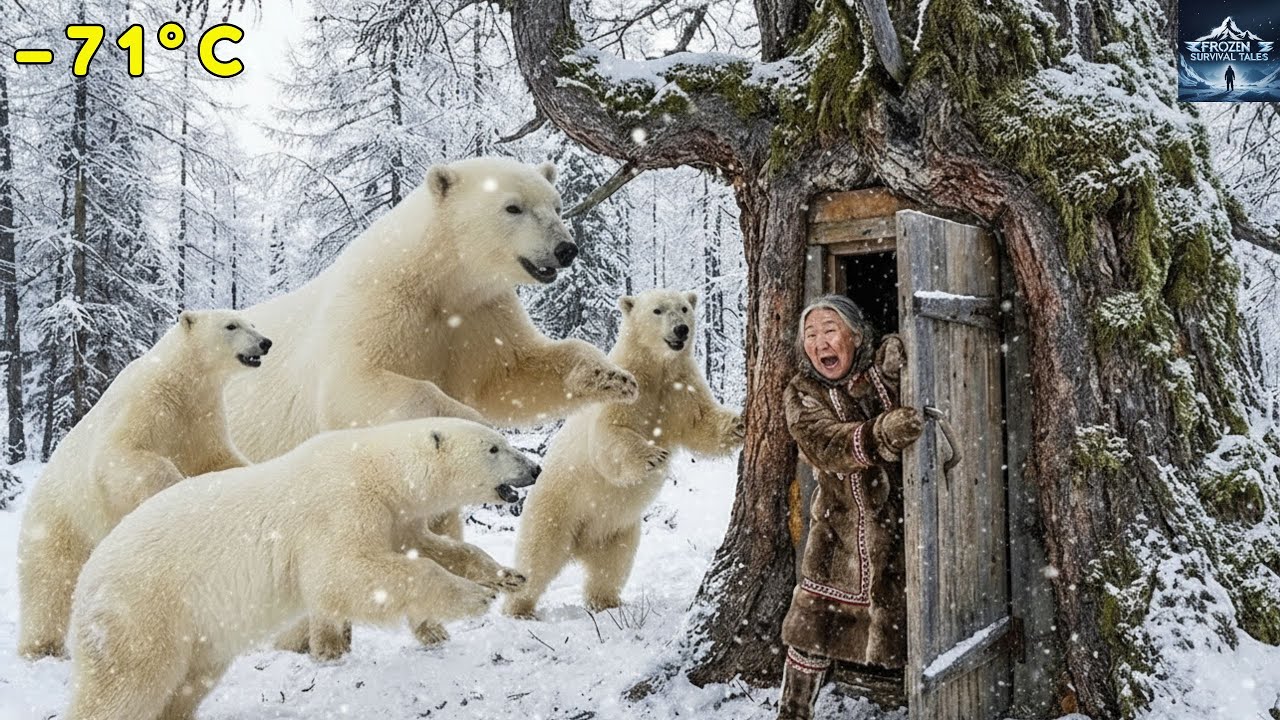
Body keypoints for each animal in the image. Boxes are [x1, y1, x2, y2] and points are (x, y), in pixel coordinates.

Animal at [16, 309, 271, 660]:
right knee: (49, 579)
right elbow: (120, 454)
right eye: (231, 325)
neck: (182, 381)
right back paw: (41, 645)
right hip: (61, 519)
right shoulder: (146, 403)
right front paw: (171, 486)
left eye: (253, 324)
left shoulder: (201, 419)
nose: (265, 342)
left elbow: (217, 459)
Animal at [63, 417, 536, 720]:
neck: (377, 469)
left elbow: (431, 548)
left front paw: (507, 576)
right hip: (142, 611)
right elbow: (344, 574)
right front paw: (475, 597)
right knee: (126, 686)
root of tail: (85, 581)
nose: (534, 467)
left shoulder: (395, 517)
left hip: (196, 632)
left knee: (188, 682)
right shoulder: (340, 506)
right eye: (495, 447)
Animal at [219, 157, 639, 655]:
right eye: (513, 207)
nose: (565, 249)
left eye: (556, 205)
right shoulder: (377, 305)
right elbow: (360, 382)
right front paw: (468, 422)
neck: (435, 276)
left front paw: (611, 377)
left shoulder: (478, 315)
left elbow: (514, 372)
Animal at [503, 289, 745, 618]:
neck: (656, 367)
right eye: (658, 310)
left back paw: (607, 602)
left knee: (612, 566)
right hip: (556, 511)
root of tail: (580, 547)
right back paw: (519, 608)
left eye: (684, 308)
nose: (681, 329)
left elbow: (701, 421)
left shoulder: (680, 387)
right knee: (537, 558)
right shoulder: (627, 388)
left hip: (616, 530)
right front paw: (654, 456)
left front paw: (740, 424)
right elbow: (610, 434)